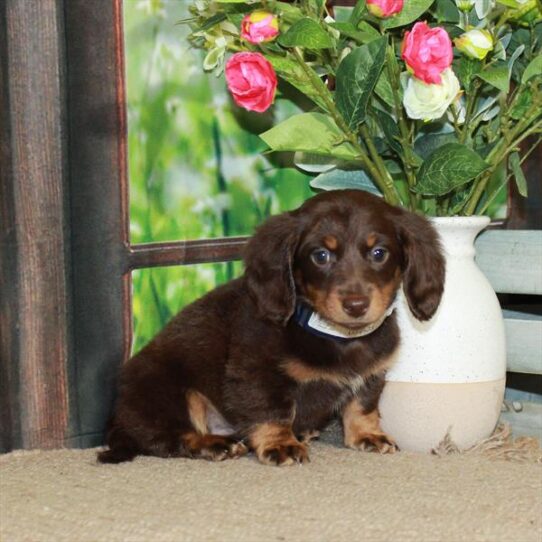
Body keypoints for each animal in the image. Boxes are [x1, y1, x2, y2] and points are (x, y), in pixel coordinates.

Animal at [98, 191, 446, 468]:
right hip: (165, 389)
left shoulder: (373, 375)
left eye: (379, 253)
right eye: (321, 255)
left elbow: (362, 406)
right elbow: (273, 412)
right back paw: (215, 444)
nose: (356, 305)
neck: (337, 337)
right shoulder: (258, 373)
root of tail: (120, 418)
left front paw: (369, 435)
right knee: (167, 437)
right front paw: (281, 444)